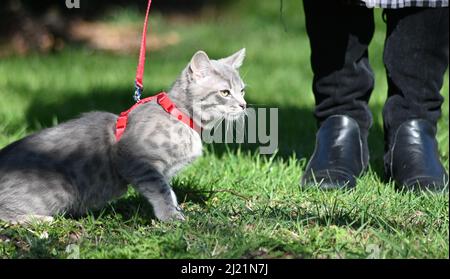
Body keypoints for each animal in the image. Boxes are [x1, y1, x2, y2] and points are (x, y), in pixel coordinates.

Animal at [0, 48, 246, 223]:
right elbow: (161, 189)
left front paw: (176, 209)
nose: (244, 105)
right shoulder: (133, 158)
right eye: (225, 92)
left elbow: (169, 190)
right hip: (60, 189)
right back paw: (40, 220)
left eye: (242, 90)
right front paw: (171, 216)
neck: (180, 116)